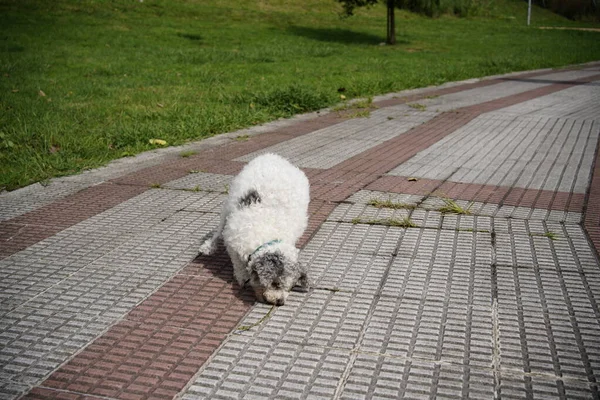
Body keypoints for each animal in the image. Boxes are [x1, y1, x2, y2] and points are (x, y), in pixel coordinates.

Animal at [199, 154, 312, 306]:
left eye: (291, 286)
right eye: (275, 284)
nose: (280, 302)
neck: (267, 236)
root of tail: (273, 156)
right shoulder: (233, 241)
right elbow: (238, 263)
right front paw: (242, 277)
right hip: (229, 204)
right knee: (219, 229)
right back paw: (208, 246)